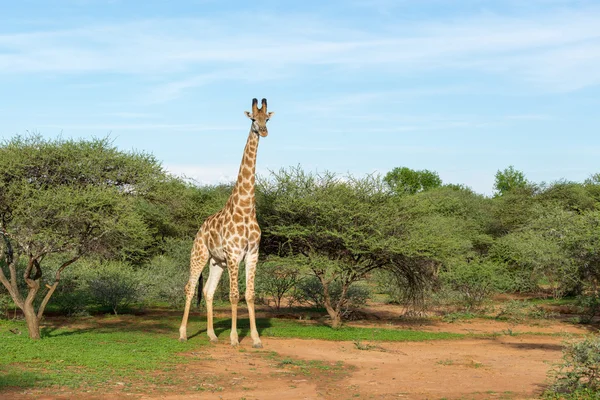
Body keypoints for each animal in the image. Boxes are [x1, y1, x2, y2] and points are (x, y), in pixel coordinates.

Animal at [178, 97, 272, 346]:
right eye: (253, 119)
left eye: (267, 119)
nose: (264, 131)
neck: (246, 208)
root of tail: (200, 229)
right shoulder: (233, 254)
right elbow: (234, 295)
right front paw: (234, 338)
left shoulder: (252, 253)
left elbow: (249, 295)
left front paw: (256, 339)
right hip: (199, 254)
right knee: (190, 287)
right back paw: (182, 333)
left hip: (216, 262)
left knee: (208, 291)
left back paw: (211, 335)